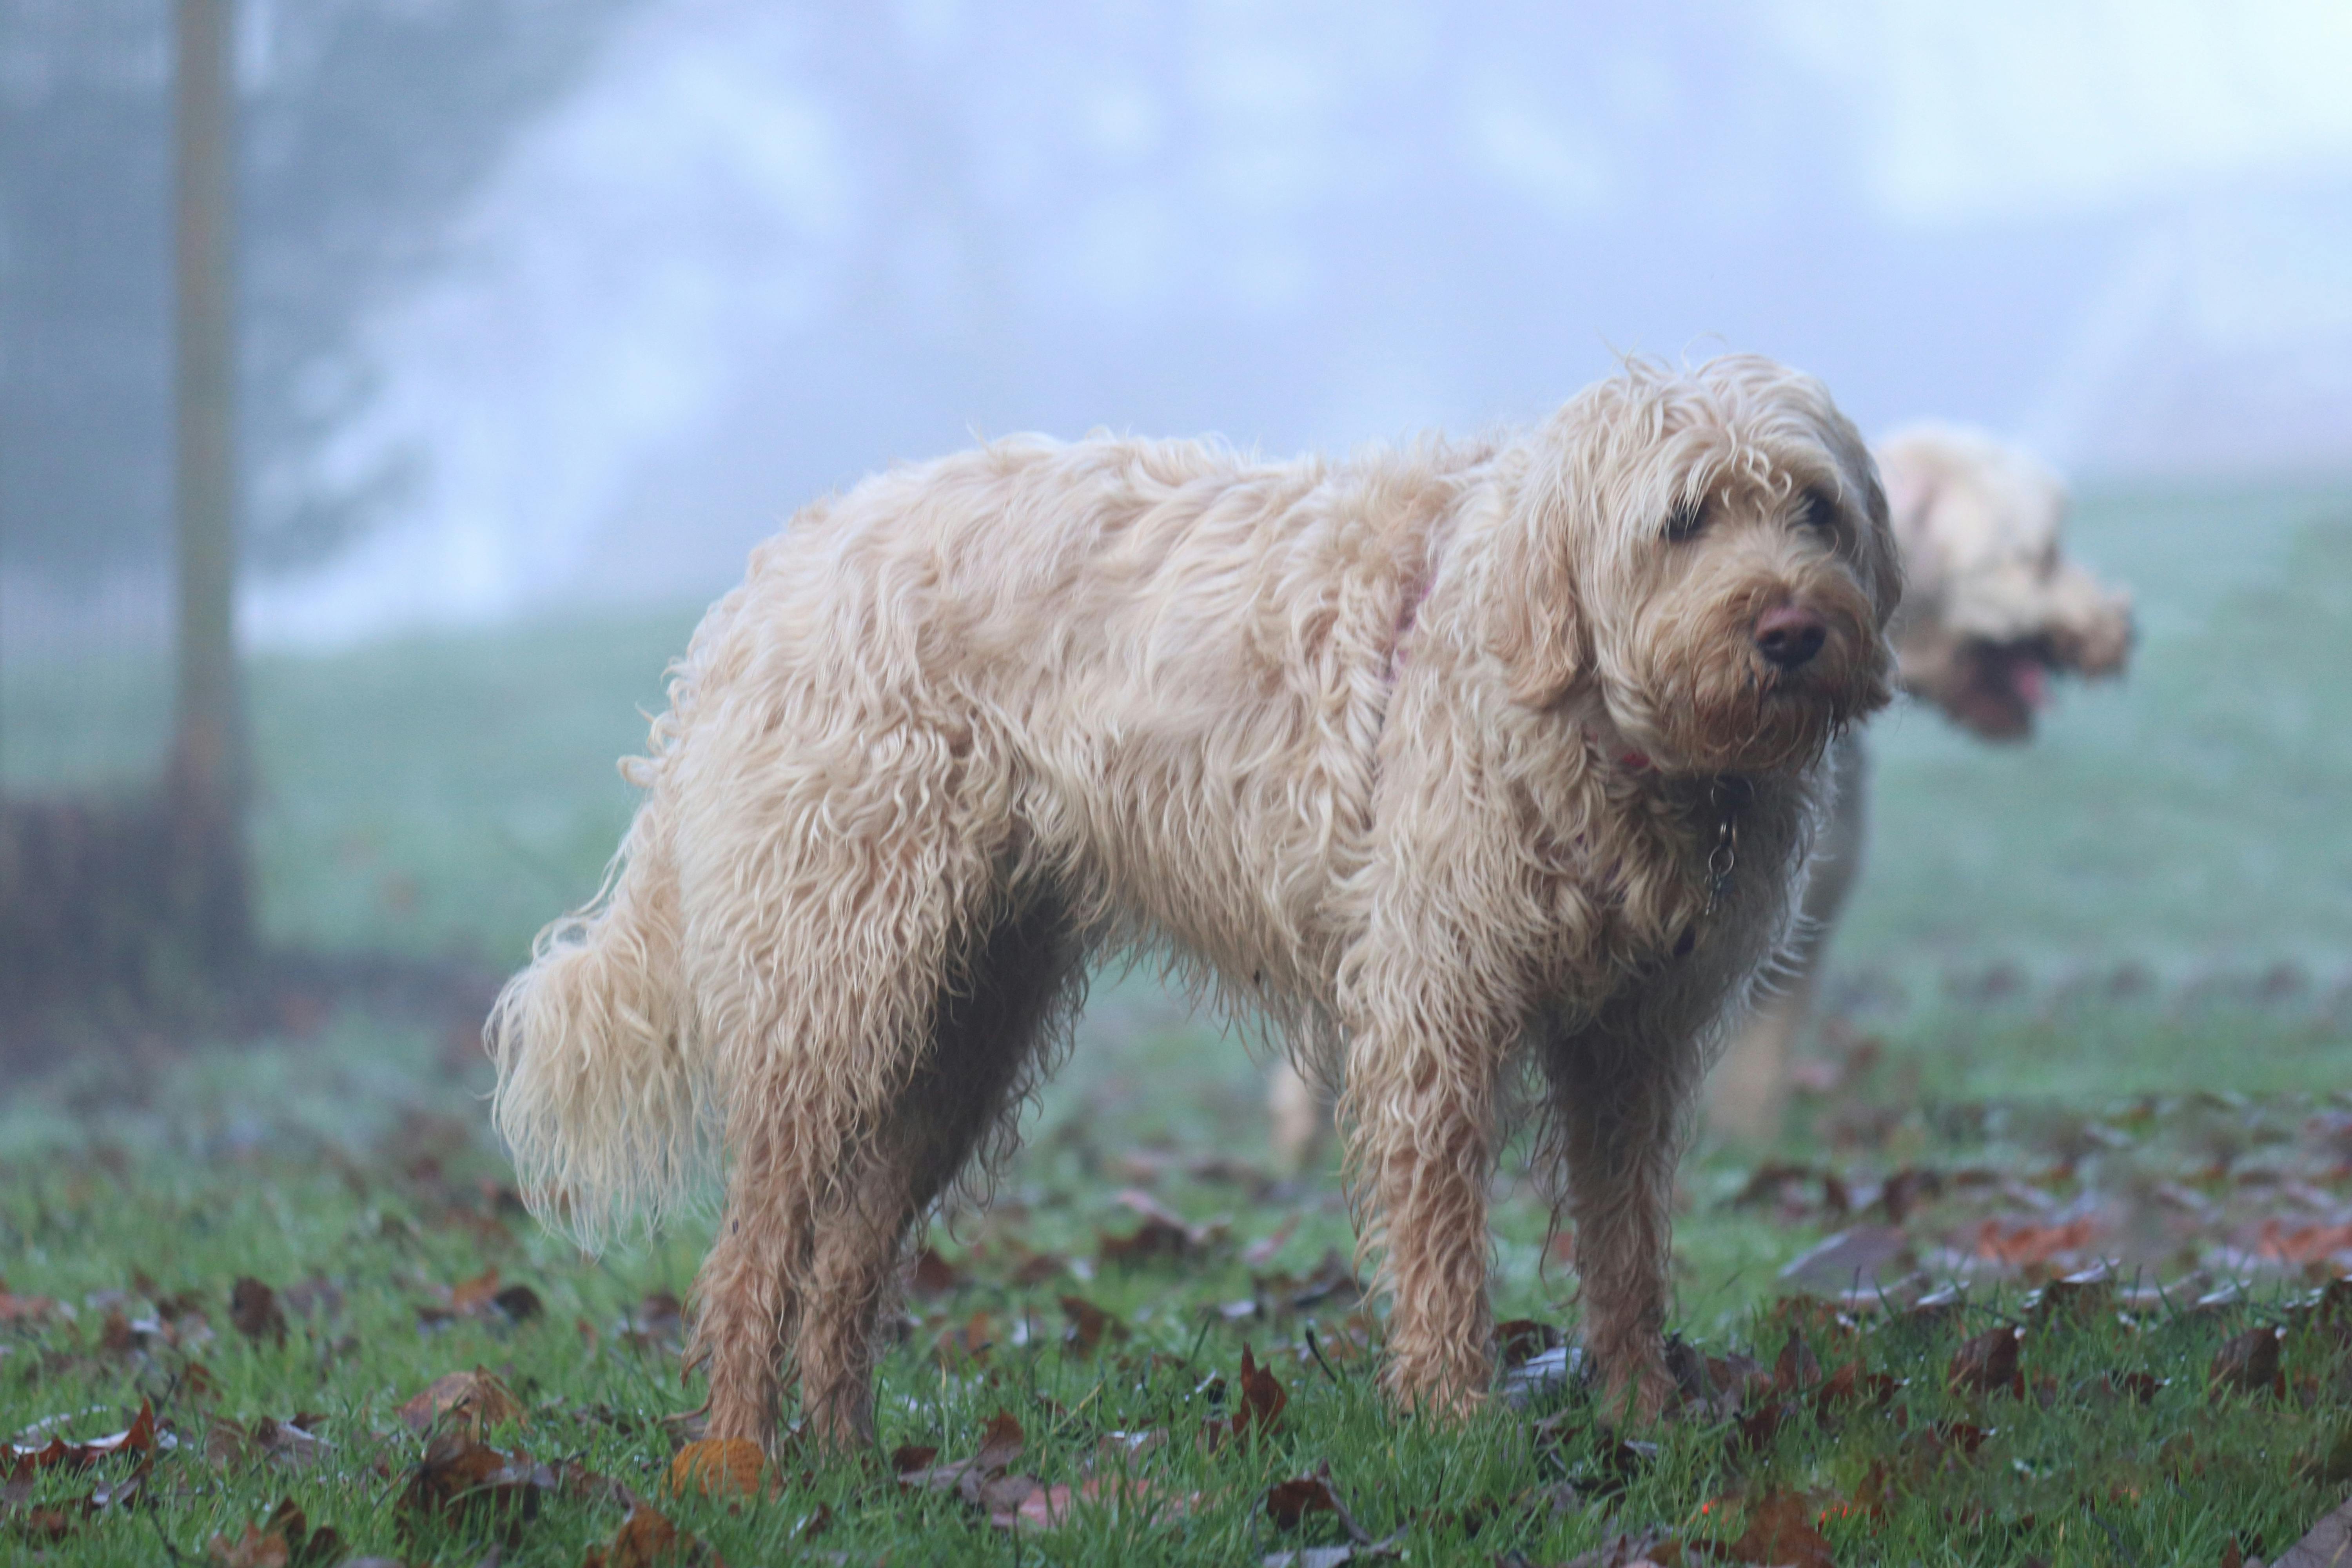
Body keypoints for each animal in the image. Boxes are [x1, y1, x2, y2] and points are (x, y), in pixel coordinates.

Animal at [487, 355, 1900, 1448]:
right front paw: (1457, 1425)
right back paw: (737, 1461)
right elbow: (1444, 1244)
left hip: (961, 1022)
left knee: (847, 1257)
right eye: (1685, 519)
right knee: (754, 1251)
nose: (1792, 630)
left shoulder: (1631, 1047)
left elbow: (1627, 1245)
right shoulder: (1436, 1016)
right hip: (834, 988)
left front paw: (1645, 1413)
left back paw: (844, 1456)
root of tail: (773, 575)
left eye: (1815, 510)